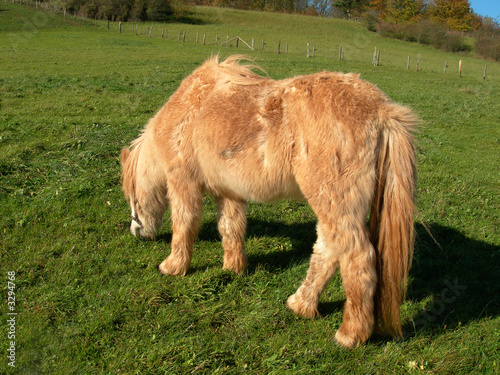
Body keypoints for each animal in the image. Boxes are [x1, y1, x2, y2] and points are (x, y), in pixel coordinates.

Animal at [119, 56, 416, 350]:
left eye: (132, 198)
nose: (136, 231)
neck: (190, 107)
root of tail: (381, 110)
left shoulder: (183, 183)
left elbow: (184, 224)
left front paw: (172, 267)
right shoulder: (228, 192)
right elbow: (231, 228)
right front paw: (233, 268)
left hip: (335, 204)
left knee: (357, 257)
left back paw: (349, 334)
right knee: (327, 250)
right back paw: (301, 304)